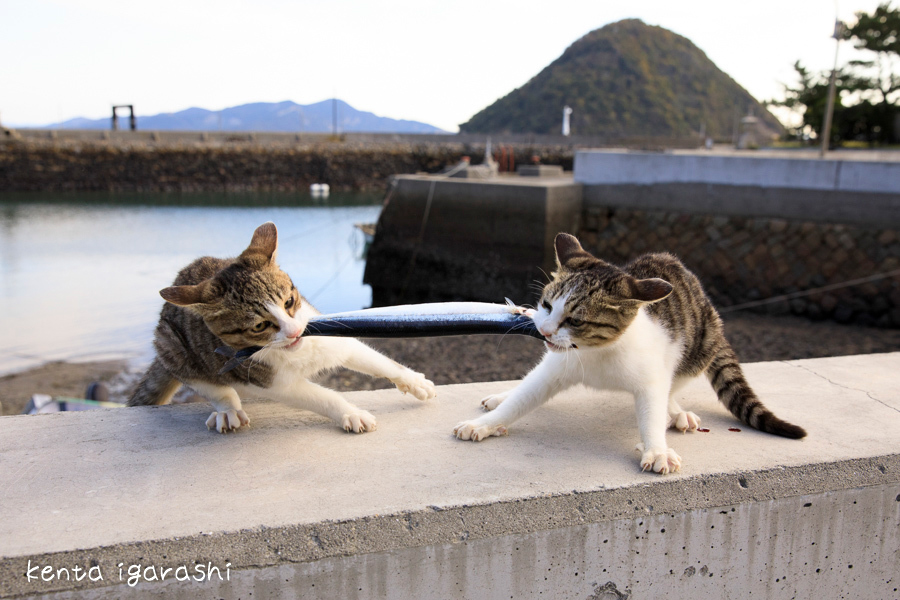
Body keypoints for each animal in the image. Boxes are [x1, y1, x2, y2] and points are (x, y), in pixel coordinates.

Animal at [129, 220, 436, 432]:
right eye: (259, 326)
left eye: (289, 301)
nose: (295, 332)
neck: (295, 352)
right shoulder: (270, 380)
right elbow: (319, 396)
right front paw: (350, 412)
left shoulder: (324, 332)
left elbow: (373, 358)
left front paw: (415, 382)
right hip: (172, 345)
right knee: (208, 383)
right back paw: (227, 409)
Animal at [454, 234, 804, 474]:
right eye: (547, 305)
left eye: (576, 320)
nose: (546, 331)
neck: (596, 352)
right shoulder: (556, 367)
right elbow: (525, 396)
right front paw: (485, 423)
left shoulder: (651, 375)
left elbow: (652, 407)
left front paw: (657, 449)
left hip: (696, 349)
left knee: (673, 385)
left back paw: (676, 412)